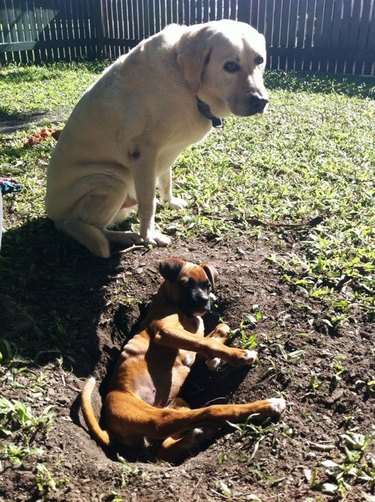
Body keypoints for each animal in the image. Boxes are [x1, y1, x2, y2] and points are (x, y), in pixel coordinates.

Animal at [45, 19, 268, 256]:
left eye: (259, 60)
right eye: (230, 66)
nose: (261, 101)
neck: (186, 83)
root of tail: (57, 219)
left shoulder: (166, 153)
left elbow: (166, 181)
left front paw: (170, 202)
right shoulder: (143, 154)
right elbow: (148, 202)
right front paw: (149, 235)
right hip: (111, 182)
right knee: (93, 227)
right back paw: (124, 236)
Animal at [80, 258, 284, 462]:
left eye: (208, 285)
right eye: (185, 284)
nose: (204, 301)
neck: (179, 308)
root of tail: (110, 430)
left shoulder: (192, 344)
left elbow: (218, 330)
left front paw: (214, 360)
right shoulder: (166, 332)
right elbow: (207, 342)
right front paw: (239, 355)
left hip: (180, 404)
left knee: (167, 447)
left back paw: (198, 434)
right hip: (157, 417)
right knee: (209, 411)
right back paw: (268, 406)